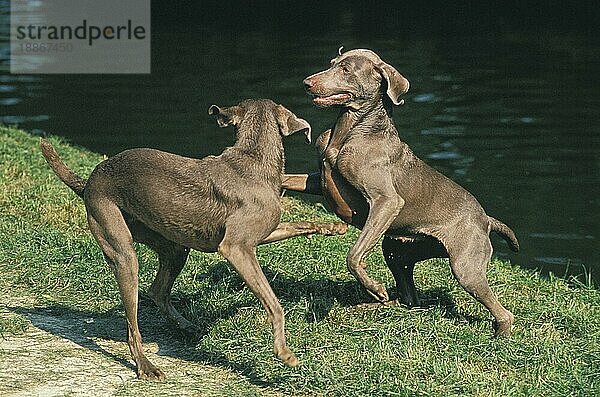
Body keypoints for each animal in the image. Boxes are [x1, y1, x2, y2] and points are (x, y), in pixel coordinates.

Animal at [41, 98, 346, 378]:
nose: (338, 228)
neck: (253, 160)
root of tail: (88, 181)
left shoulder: (262, 234)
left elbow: (300, 224)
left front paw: (334, 227)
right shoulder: (236, 248)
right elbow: (274, 303)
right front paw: (284, 353)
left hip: (174, 247)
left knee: (157, 290)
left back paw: (187, 326)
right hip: (122, 250)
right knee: (133, 325)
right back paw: (146, 366)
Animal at [284, 48, 516, 336]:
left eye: (346, 69)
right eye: (331, 64)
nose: (307, 83)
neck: (350, 131)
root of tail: (486, 220)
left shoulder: (386, 201)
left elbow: (353, 255)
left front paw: (374, 287)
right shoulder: (318, 181)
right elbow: (287, 179)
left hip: (465, 266)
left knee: (501, 311)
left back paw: (500, 335)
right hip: (397, 248)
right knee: (409, 298)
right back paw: (371, 306)